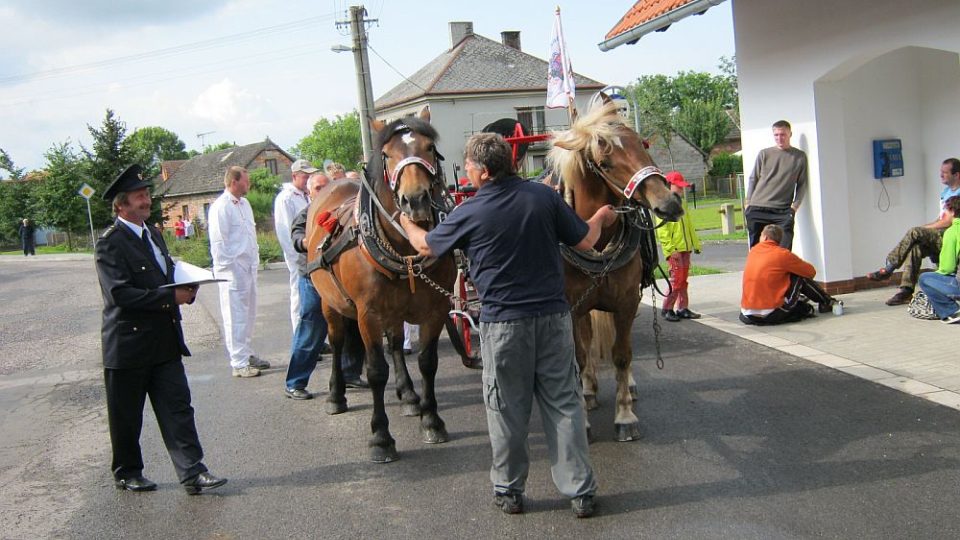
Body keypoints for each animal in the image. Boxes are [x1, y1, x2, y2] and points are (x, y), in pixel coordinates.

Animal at [308, 107, 458, 462]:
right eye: (388, 155)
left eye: (429, 147)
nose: (414, 200)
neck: (405, 252)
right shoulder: (369, 314)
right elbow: (376, 371)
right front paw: (380, 436)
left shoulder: (436, 310)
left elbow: (427, 362)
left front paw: (431, 419)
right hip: (330, 304)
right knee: (337, 343)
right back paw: (336, 396)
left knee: (397, 344)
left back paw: (408, 395)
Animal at [548, 99, 684, 440]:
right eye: (605, 163)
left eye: (642, 145)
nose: (669, 204)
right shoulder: (571, 308)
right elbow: (580, 356)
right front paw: (582, 419)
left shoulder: (626, 302)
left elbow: (622, 355)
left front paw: (624, 416)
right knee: (585, 343)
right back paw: (587, 390)